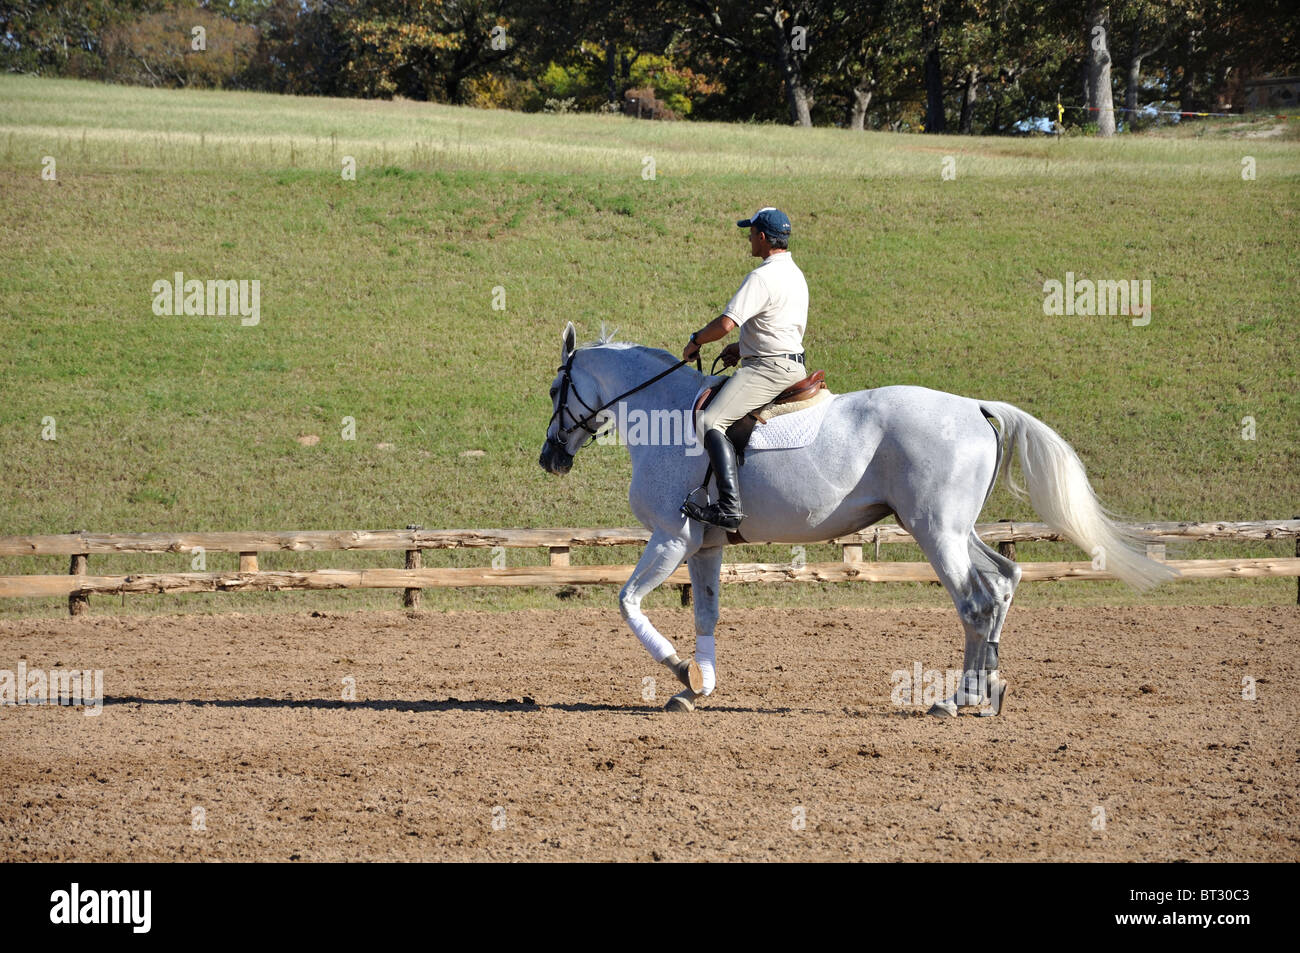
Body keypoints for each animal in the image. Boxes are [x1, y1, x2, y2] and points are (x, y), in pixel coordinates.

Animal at [539, 323, 1177, 716]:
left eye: (553, 390)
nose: (550, 459)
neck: (665, 414)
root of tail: (975, 407)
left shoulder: (671, 539)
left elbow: (627, 602)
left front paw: (676, 671)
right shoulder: (705, 546)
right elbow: (707, 615)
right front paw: (698, 687)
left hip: (935, 532)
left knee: (975, 601)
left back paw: (955, 700)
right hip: (956, 530)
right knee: (1002, 581)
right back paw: (985, 690)